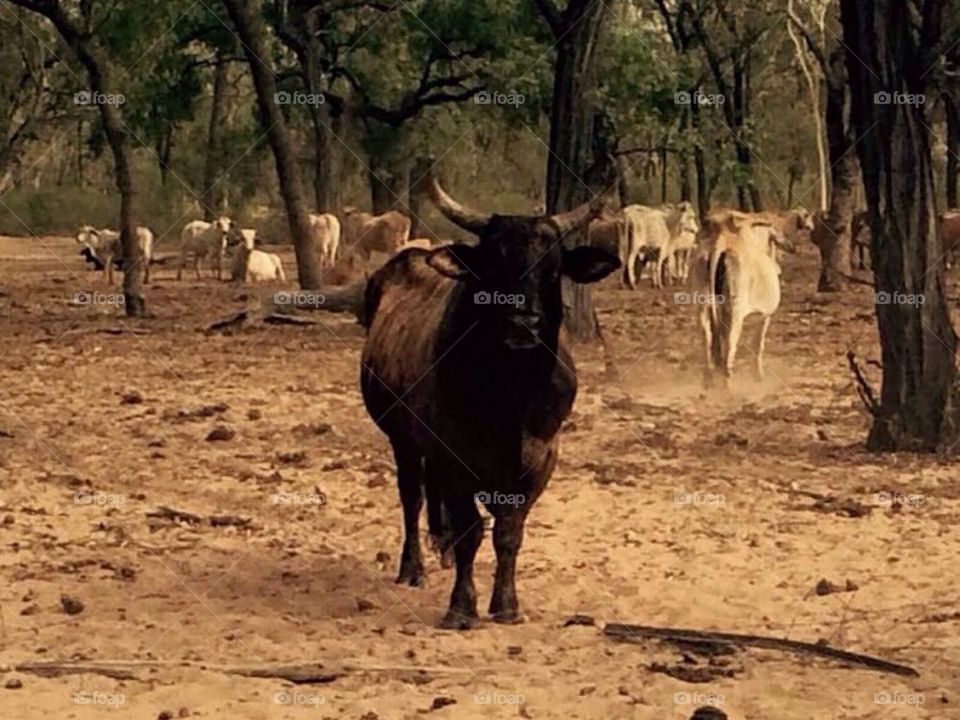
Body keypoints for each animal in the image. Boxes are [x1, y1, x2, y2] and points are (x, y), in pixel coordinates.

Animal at [360, 176, 619, 628]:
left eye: (553, 268)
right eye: (494, 264)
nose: (523, 323)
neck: (510, 392)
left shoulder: (538, 459)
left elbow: (508, 532)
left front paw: (506, 604)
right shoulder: (453, 455)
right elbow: (471, 530)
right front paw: (461, 607)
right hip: (402, 440)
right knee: (412, 495)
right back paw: (413, 567)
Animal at [692, 210, 787, 386]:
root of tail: (721, 242)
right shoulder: (765, 315)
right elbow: (758, 343)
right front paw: (758, 375)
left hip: (702, 303)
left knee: (707, 335)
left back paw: (709, 379)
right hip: (736, 309)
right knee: (730, 342)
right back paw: (727, 384)